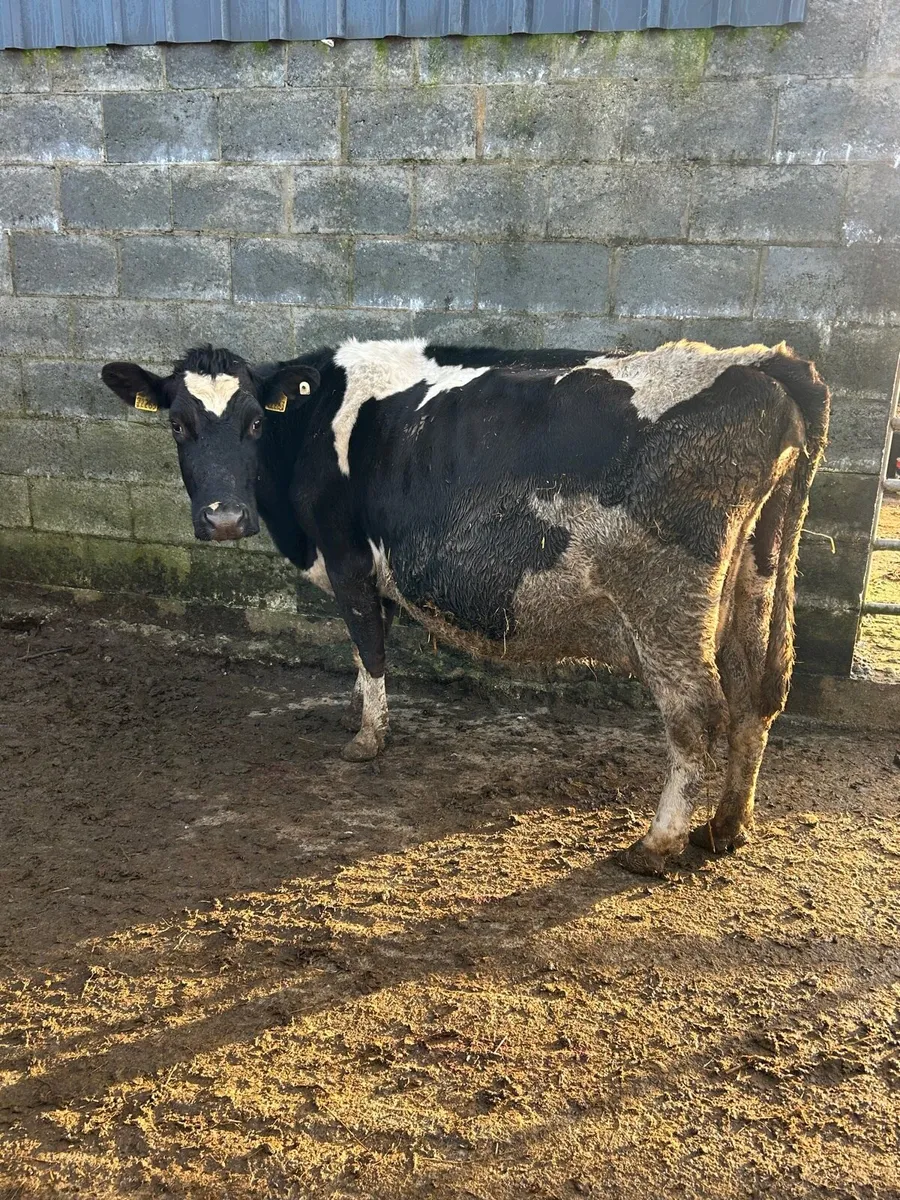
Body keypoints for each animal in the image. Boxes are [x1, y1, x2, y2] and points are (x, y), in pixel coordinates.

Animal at [100, 338, 829, 877]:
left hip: (666, 604)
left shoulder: (348, 557)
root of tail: (760, 361)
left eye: (255, 421)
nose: (224, 518)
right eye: (178, 424)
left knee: (698, 715)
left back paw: (657, 845)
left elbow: (369, 648)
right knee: (757, 694)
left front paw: (367, 738)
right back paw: (727, 827)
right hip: (755, 582)